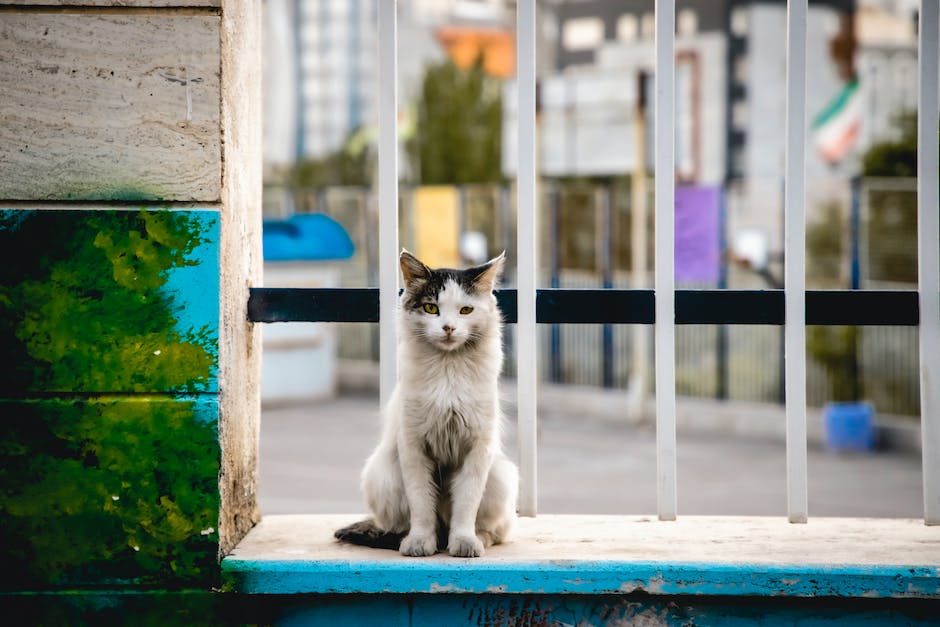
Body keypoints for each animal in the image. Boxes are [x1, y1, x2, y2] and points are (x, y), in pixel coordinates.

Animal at [334, 248, 516, 556]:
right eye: (431, 308)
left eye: (465, 310)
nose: (449, 328)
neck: (448, 369)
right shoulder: (414, 446)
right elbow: (421, 504)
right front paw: (419, 542)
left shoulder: (477, 448)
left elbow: (466, 504)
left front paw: (464, 542)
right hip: (381, 475)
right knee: (399, 524)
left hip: (501, 477)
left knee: (497, 530)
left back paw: (479, 538)